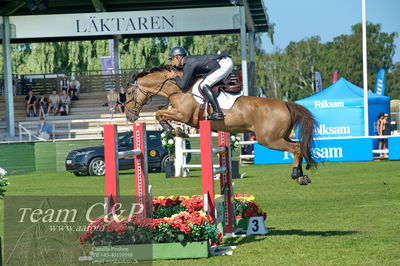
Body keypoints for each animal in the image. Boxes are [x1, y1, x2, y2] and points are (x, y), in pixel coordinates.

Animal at [125, 65, 318, 185]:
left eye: (127, 93)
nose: (129, 116)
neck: (179, 89)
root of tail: (286, 103)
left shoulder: (183, 115)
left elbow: (160, 114)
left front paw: (177, 131)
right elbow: (161, 114)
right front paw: (176, 131)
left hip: (269, 139)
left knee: (296, 149)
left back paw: (296, 175)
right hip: (280, 136)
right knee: (300, 146)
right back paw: (302, 176)